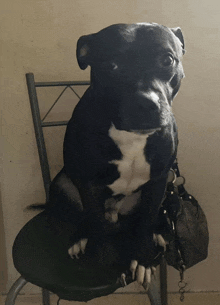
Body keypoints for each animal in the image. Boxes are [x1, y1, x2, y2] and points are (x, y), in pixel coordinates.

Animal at [40, 23, 185, 288]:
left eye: (167, 60)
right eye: (110, 65)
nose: (145, 103)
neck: (131, 136)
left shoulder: (159, 180)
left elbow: (147, 219)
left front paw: (142, 258)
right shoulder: (88, 184)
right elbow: (97, 225)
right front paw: (101, 263)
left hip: (167, 192)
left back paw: (159, 233)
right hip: (62, 184)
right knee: (86, 218)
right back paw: (79, 239)